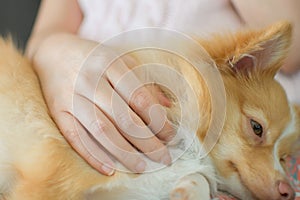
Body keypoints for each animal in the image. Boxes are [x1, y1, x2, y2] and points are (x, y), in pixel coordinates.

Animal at [0, 21, 298, 199]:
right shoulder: (46, 185)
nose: (288, 191)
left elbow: (197, 179)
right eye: (256, 128)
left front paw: (188, 190)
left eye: (284, 158)